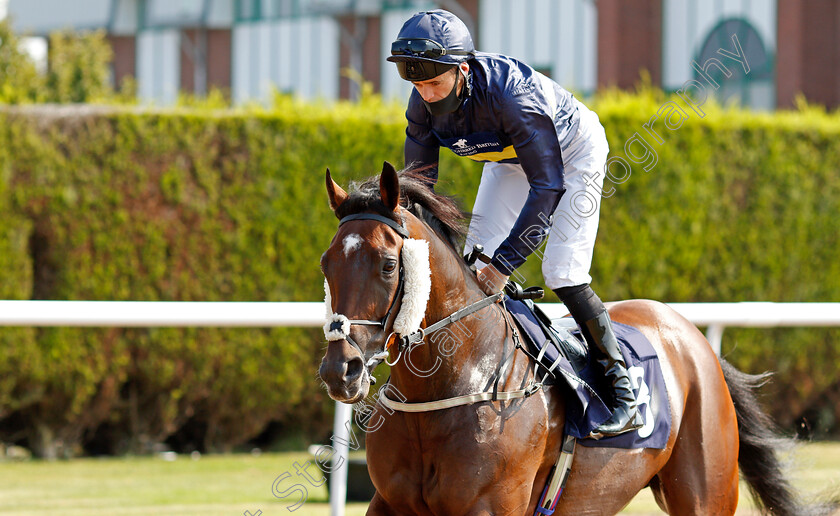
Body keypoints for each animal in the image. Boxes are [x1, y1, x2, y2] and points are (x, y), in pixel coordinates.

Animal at [316, 162, 832, 516]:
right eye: (326, 262)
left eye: (388, 265)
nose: (340, 370)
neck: (452, 385)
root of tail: (692, 338)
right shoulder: (390, 502)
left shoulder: (489, 505)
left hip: (706, 493)